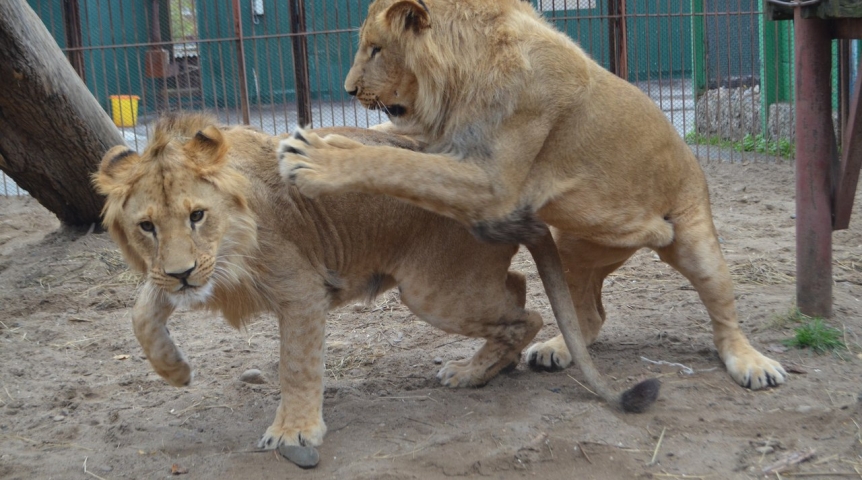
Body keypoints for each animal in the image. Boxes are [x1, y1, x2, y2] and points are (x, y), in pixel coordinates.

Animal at [277, 0, 787, 391]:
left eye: (376, 49)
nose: (349, 90)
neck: (463, 78)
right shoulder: (447, 144)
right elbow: (392, 148)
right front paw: (327, 140)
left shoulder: (492, 184)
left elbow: (398, 164)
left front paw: (316, 159)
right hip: (575, 248)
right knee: (588, 314)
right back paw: (556, 350)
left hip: (695, 241)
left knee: (722, 313)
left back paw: (752, 364)